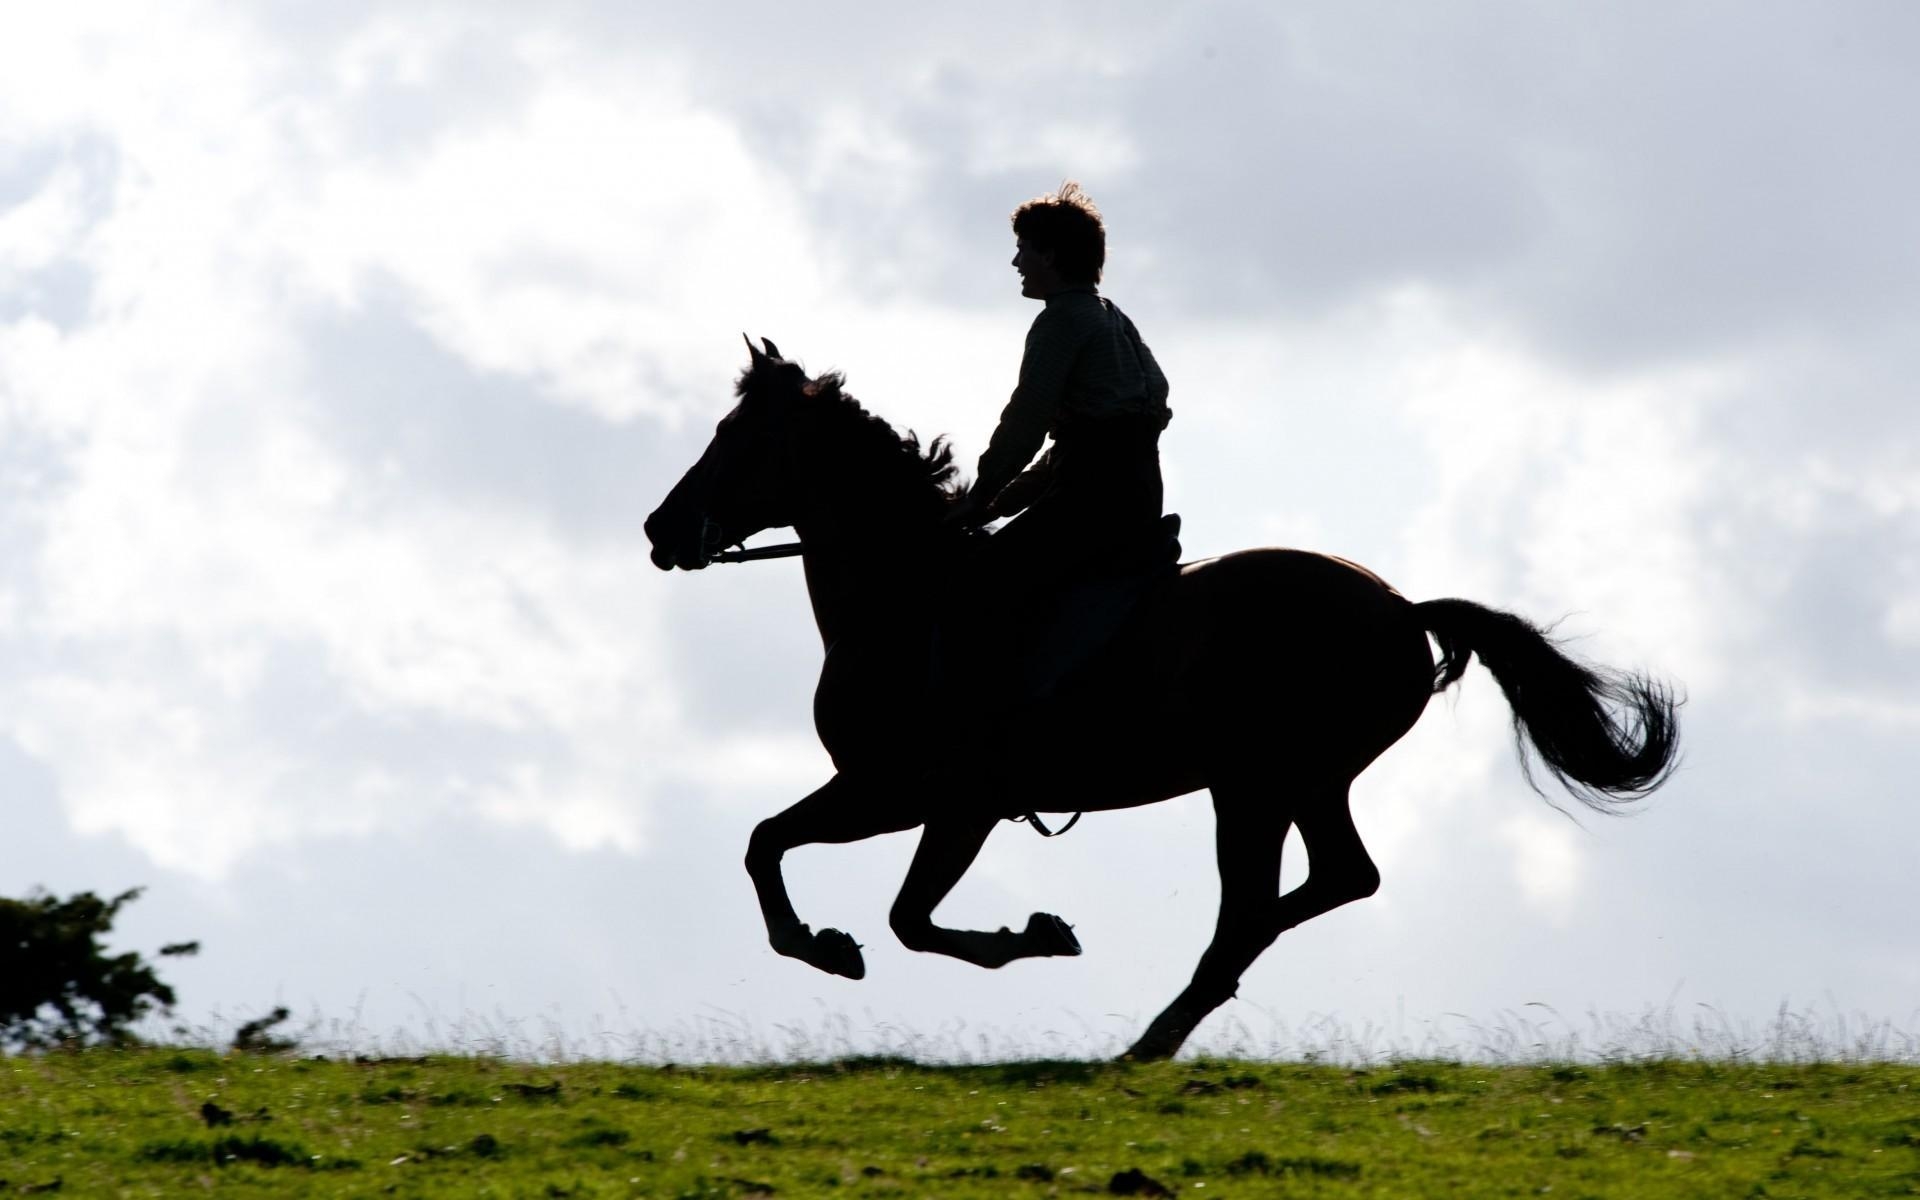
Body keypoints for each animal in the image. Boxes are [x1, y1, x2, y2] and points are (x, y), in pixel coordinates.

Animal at [645, 337, 1681, 1059]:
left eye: (735, 439)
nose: (661, 529)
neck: (907, 597)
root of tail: (1401, 609)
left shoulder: (932, 797)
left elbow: (889, 908)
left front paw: (1015, 937)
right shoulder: (892, 794)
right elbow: (773, 846)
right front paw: (830, 945)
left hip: (1258, 786)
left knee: (1259, 905)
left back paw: (1154, 1033)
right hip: (1296, 783)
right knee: (1328, 883)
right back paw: (1173, 1021)